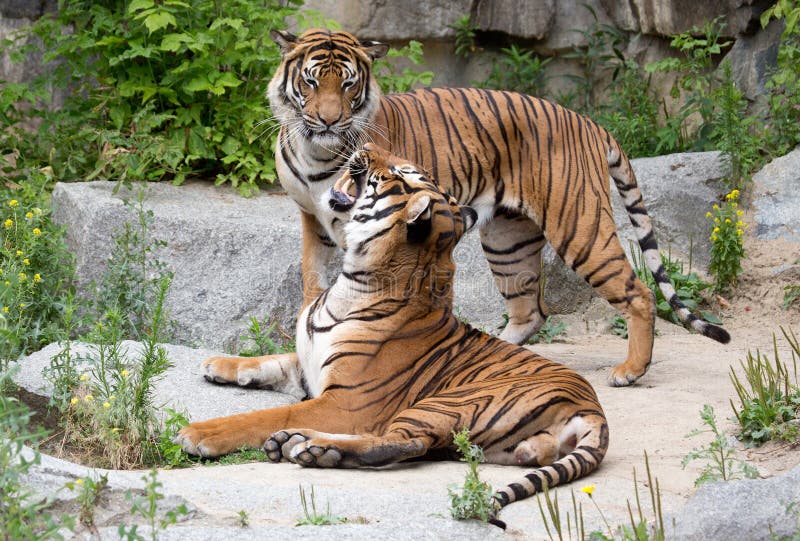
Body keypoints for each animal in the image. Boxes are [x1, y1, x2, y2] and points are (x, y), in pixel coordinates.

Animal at [178, 144, 608, 520]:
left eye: (400, 173)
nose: (366, 145)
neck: (352, 279)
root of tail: (592, 408)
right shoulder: (310, 364)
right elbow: (271, 360)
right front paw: (218, 364)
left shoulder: (345, 402)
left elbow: (265, 415)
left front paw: (199, 433)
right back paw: (296, 442)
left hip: (442, 403)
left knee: (405, 443)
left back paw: (312, 449)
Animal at [268, 27, 732, 386]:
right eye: (312, 82)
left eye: (348, 84)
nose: (329, 121)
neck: (317, 153)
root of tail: (590, 122)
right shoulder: (314, 221)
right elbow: (314, 280)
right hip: (508, 239)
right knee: (531, 310)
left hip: (579, 228)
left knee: (638, 292)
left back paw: (631, 369)